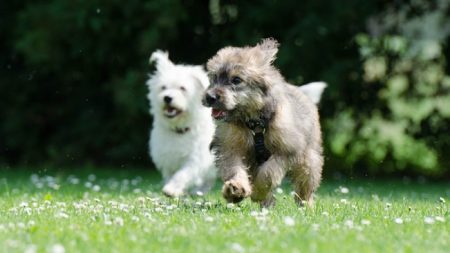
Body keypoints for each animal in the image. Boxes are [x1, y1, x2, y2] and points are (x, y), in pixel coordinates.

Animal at [146, 50, 216, 197]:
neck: (179, 129)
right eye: (163, 87)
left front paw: (171, 189)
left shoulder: (195, 159)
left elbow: (182, 174)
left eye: (182, 88)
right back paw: (199, 192)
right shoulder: (168, 159)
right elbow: (170, 175)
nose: (167, 98)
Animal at [201, 38, 324, 208]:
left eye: (236, 80)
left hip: (309, 160)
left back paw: (306, 206)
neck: (254, 123)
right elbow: (234, 169)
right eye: (214, 77)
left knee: (305, 185)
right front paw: (236, 189)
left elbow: (268, 173)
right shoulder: (231, 148)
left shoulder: (287, 150)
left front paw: (257, 191)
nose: (210, 97)